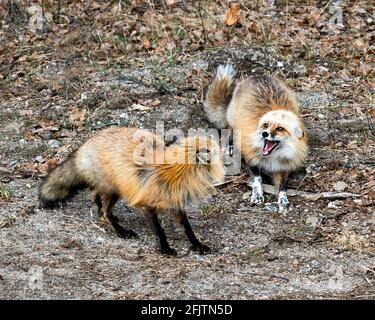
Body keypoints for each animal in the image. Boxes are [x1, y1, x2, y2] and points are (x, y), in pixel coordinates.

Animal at [39, 127, 225, 255]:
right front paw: (165, 248)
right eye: (216, 150)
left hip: (110, 189)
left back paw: (101, 211)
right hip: (113, 191)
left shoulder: (176, 205)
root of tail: (85, 144)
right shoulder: (146, 206)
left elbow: (188, 229)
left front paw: (197, 245)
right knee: (105, 209)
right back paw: (120, 230)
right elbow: (159, 231)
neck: (176, 174)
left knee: (94, 194)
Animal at [206, 64, 308, 212]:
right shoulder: (252, 157)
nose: (264, 134)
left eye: (280, 129)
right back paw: (230, 147)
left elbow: (282, 187)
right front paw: (258, 195)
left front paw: (283, 201)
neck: (271, 158)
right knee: (230, 130)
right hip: (234, 120)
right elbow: (257, 179)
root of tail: (257, 75)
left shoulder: (283, 168)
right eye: (265, 125)